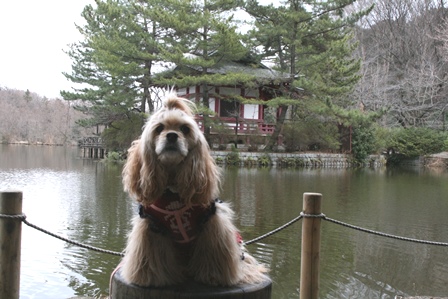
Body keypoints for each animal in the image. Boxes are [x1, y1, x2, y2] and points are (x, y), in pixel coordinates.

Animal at [119, 92, 268, 288]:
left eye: (185, 129)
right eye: (159, 128)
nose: (172, 136)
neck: (172, 192)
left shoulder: (211, 222)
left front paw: (213, 277)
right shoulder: (151, 227)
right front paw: (151, 279)